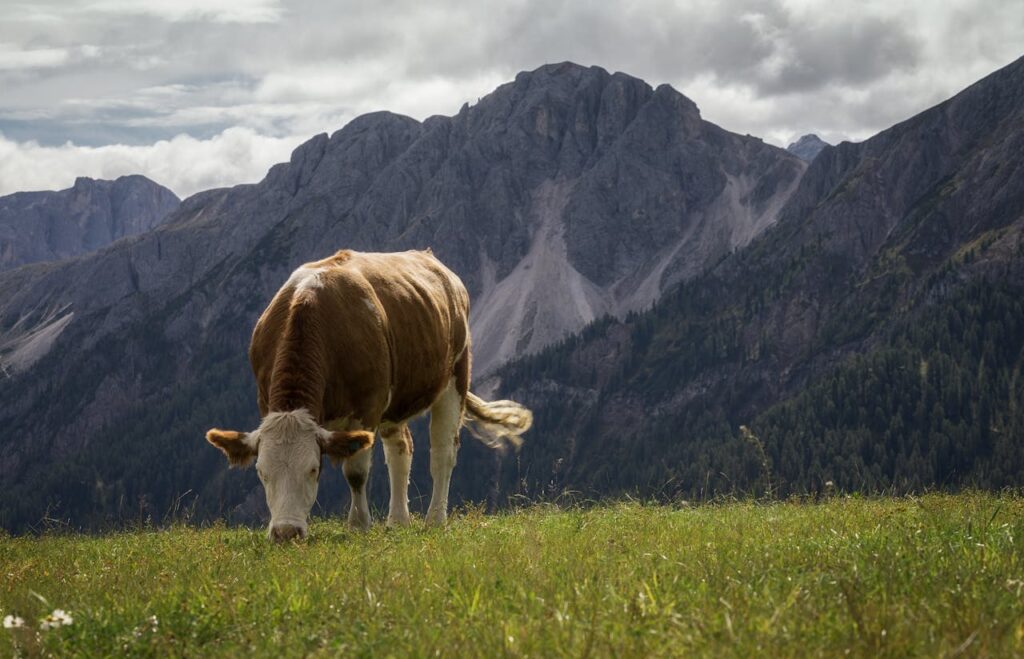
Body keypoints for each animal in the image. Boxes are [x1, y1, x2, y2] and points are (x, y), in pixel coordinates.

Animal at [206, 249, 532, 541]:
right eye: (262, 472)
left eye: (313, 469)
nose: (286, 533)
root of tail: (430, 257)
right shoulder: (265, 401)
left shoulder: (367, 407)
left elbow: (355, 472)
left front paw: (359, 524)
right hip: (396, 402)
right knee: (401, 449)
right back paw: (398, 520)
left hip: (454, 379)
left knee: (443, 452)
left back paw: (435, 519)